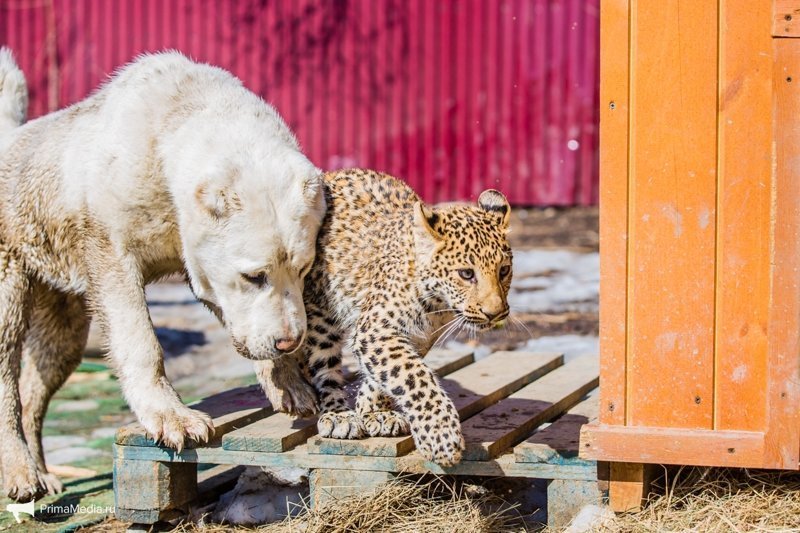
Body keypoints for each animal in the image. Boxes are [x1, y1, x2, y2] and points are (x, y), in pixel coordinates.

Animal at [0, 48, 324, 498]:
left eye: (304, 268)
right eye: (253, 276)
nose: (289, 341)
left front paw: (289, 383)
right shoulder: (111, 252)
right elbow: (139, 339)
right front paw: (171, 416)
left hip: (63, 321)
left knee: (36, 386)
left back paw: (42, 473)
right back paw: (20, 472)